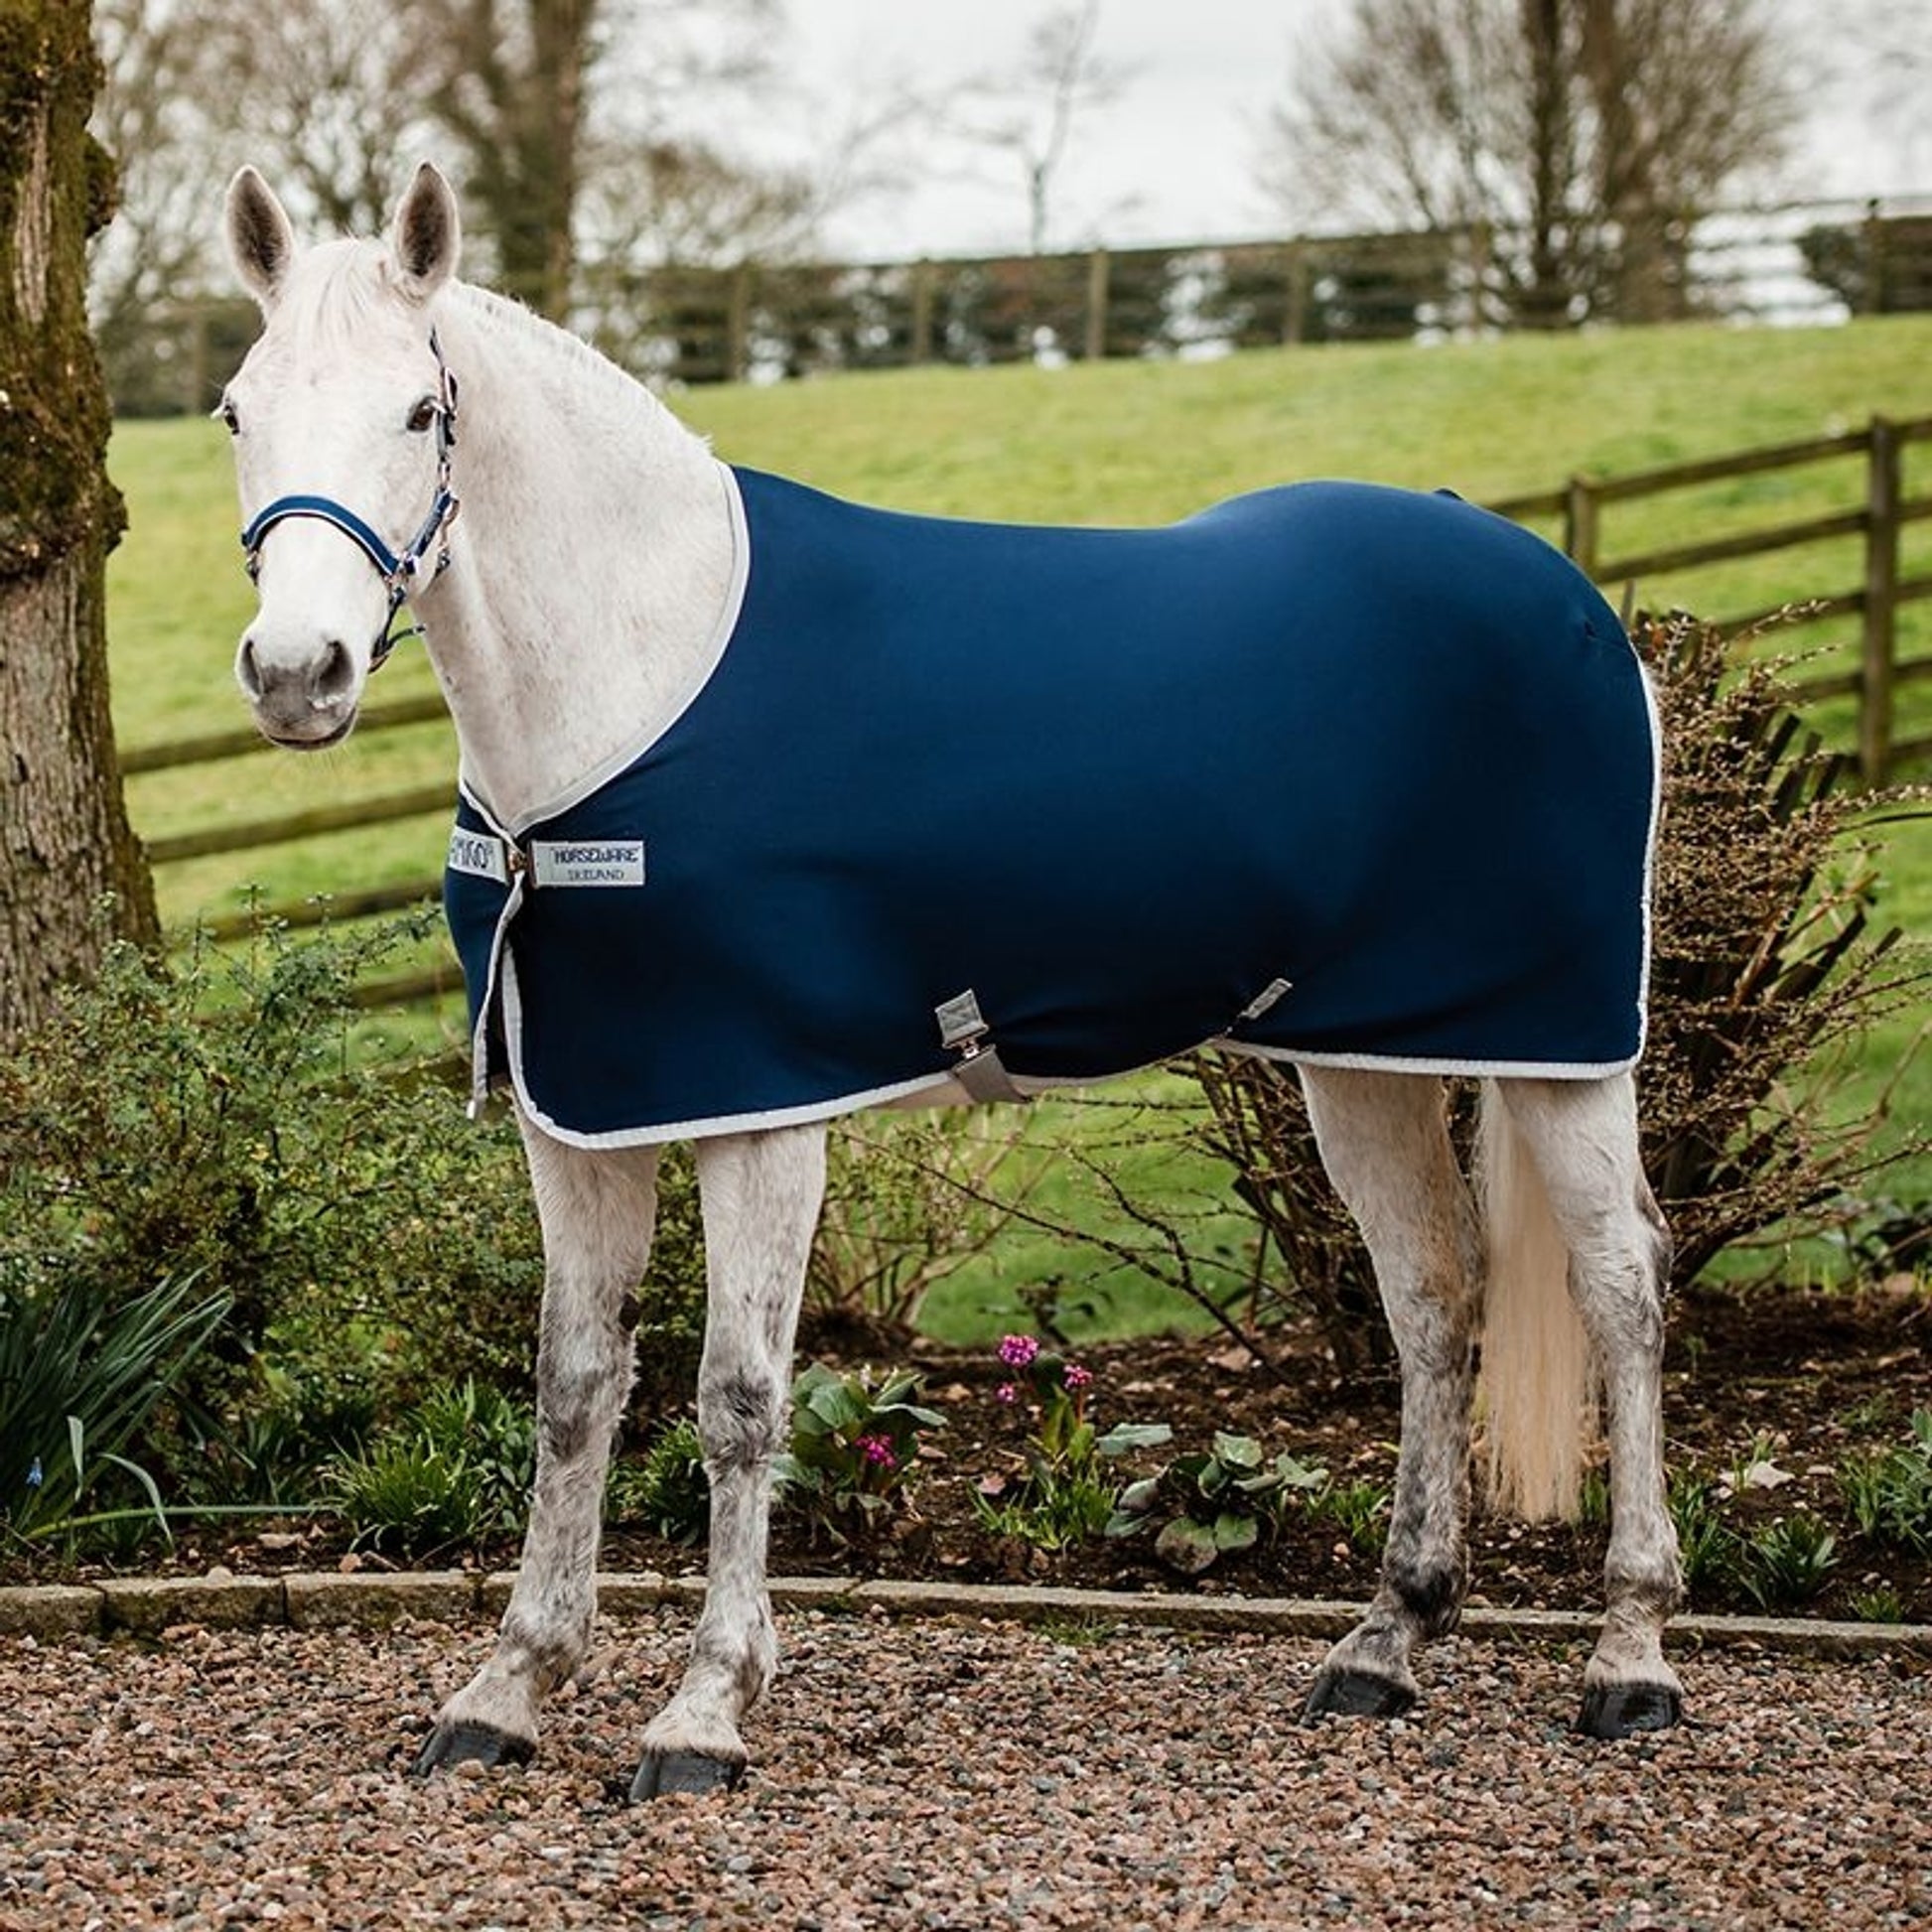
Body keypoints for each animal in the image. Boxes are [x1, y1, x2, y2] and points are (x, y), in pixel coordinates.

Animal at [219, 163, 1684, 1800]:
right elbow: (575, 1383)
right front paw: (508, 1685)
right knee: (1431, 1294)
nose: (296, 672)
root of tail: (1548, 584)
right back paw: (1386, 1640)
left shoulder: (759, 1110)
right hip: (1361, 1055)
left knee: (1622, 1285)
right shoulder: (578, 1113)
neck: (635, 678)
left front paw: (703, 1709)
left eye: (420, 410)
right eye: (236, 409)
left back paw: (1630, 1654)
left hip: (1565, 1044)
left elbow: (736, 1398)